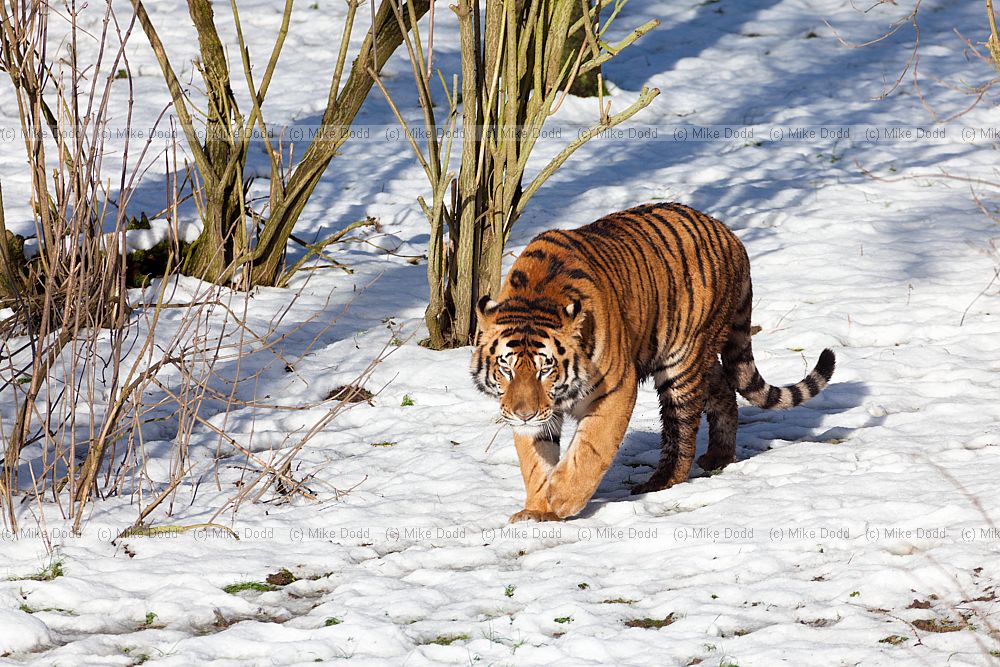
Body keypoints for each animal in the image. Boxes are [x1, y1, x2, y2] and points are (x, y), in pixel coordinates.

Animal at [470, 202, 835, 523]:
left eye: (545, 369)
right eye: (506, 368)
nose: (524, 414)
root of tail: (731, 235)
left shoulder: (616, 388)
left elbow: (590, 449)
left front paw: (561, 497)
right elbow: (535, 461)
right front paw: (537, 510)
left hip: (681, 363)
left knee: (682, 431)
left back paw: (662, 481)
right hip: (703, 356)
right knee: (724, 391)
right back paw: (718, 456)